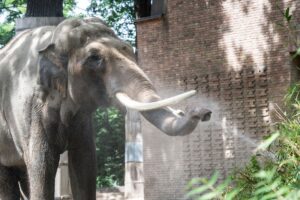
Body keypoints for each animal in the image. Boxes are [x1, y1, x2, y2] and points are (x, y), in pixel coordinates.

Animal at [0, 17, 211, 200]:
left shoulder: (81, 116)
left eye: (129, 49)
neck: (52, 37)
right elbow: (42, 163)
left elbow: (85, 160)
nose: (203, 112)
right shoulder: (30, 109)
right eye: (94, 58)